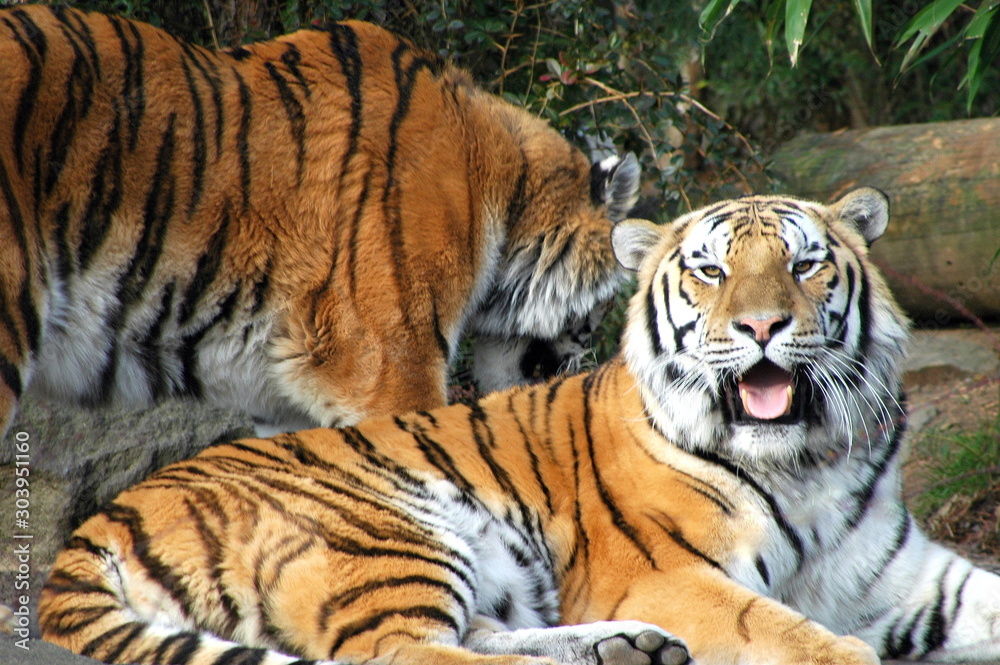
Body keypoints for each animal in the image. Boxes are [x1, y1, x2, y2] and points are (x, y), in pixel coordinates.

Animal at [38, 187, 1000, 665]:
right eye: (711, 271)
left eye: (802, 265)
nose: (761, 325)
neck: (806, 459)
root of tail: (107, 512)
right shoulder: (668, 573)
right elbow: (787, 629)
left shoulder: (905, 576)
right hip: (390, 528)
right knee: (402, 653)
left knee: (468, 633)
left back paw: (626, 651)